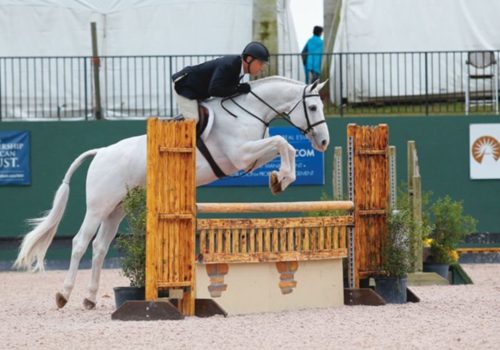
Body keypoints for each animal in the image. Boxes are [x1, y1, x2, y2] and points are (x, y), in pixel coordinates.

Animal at [13, 76, 330, 308]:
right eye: (314, 108)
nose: (324, 142)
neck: (247, 110)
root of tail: (101, 152)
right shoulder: (240, 154)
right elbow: (282, 142)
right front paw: (283, 177)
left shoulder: (249, 157)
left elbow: (283, 147)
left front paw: (280, 179)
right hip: (98, 207)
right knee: (80, 243)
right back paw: (63, 295)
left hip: (117, 209)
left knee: (100, 247)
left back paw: (90, 298)